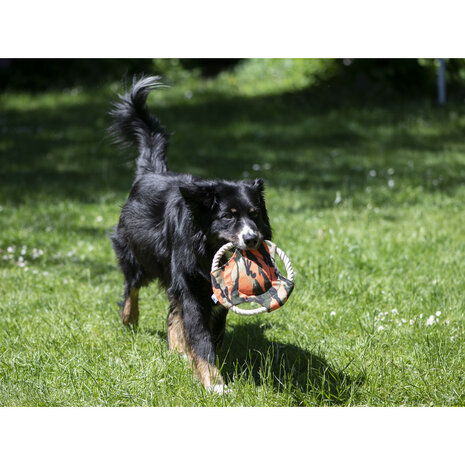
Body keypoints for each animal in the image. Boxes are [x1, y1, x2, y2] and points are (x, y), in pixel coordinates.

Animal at [108, 77, 272, 392]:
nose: (252, 239)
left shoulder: (216, 293)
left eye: (255, 213)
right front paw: (214, 383)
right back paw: (129, 319)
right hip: (138, 254)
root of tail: (150, 172)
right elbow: (199, 334)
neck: (206, 248)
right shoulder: (190, 283)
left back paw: (177, 350)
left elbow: (212, 331)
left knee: (173, 312)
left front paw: (203, 365)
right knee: (132, 285)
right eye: (228, 215)